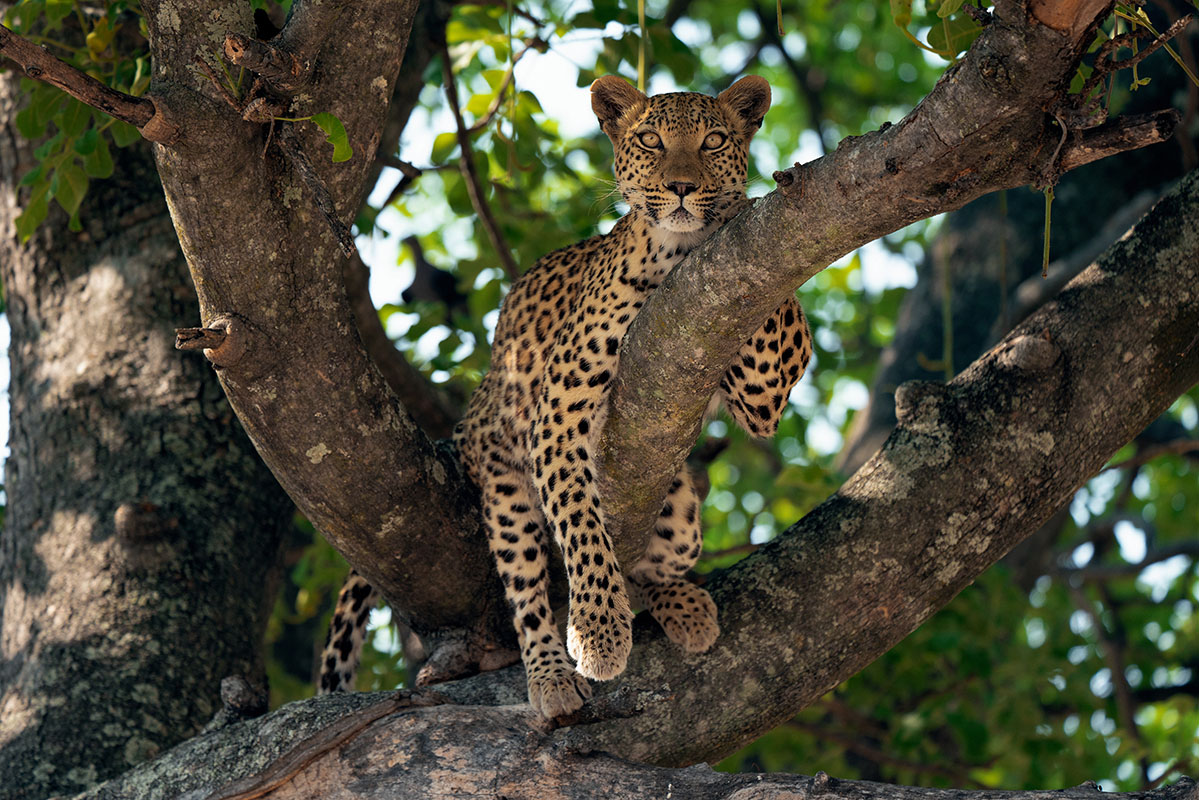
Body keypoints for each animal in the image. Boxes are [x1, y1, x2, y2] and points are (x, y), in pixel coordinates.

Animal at [316, 76, 815, 719]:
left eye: (714, 141)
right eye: (650, 141)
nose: (682, 187)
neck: (679, 257)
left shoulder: (762, 391)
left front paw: (748, 203)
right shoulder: (557, 415)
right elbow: (583, 527)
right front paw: (600, 635)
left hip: (682, 515)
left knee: (653, 569)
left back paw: (685, 607)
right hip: (504, 490)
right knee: (527, 597)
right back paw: (551, 676)